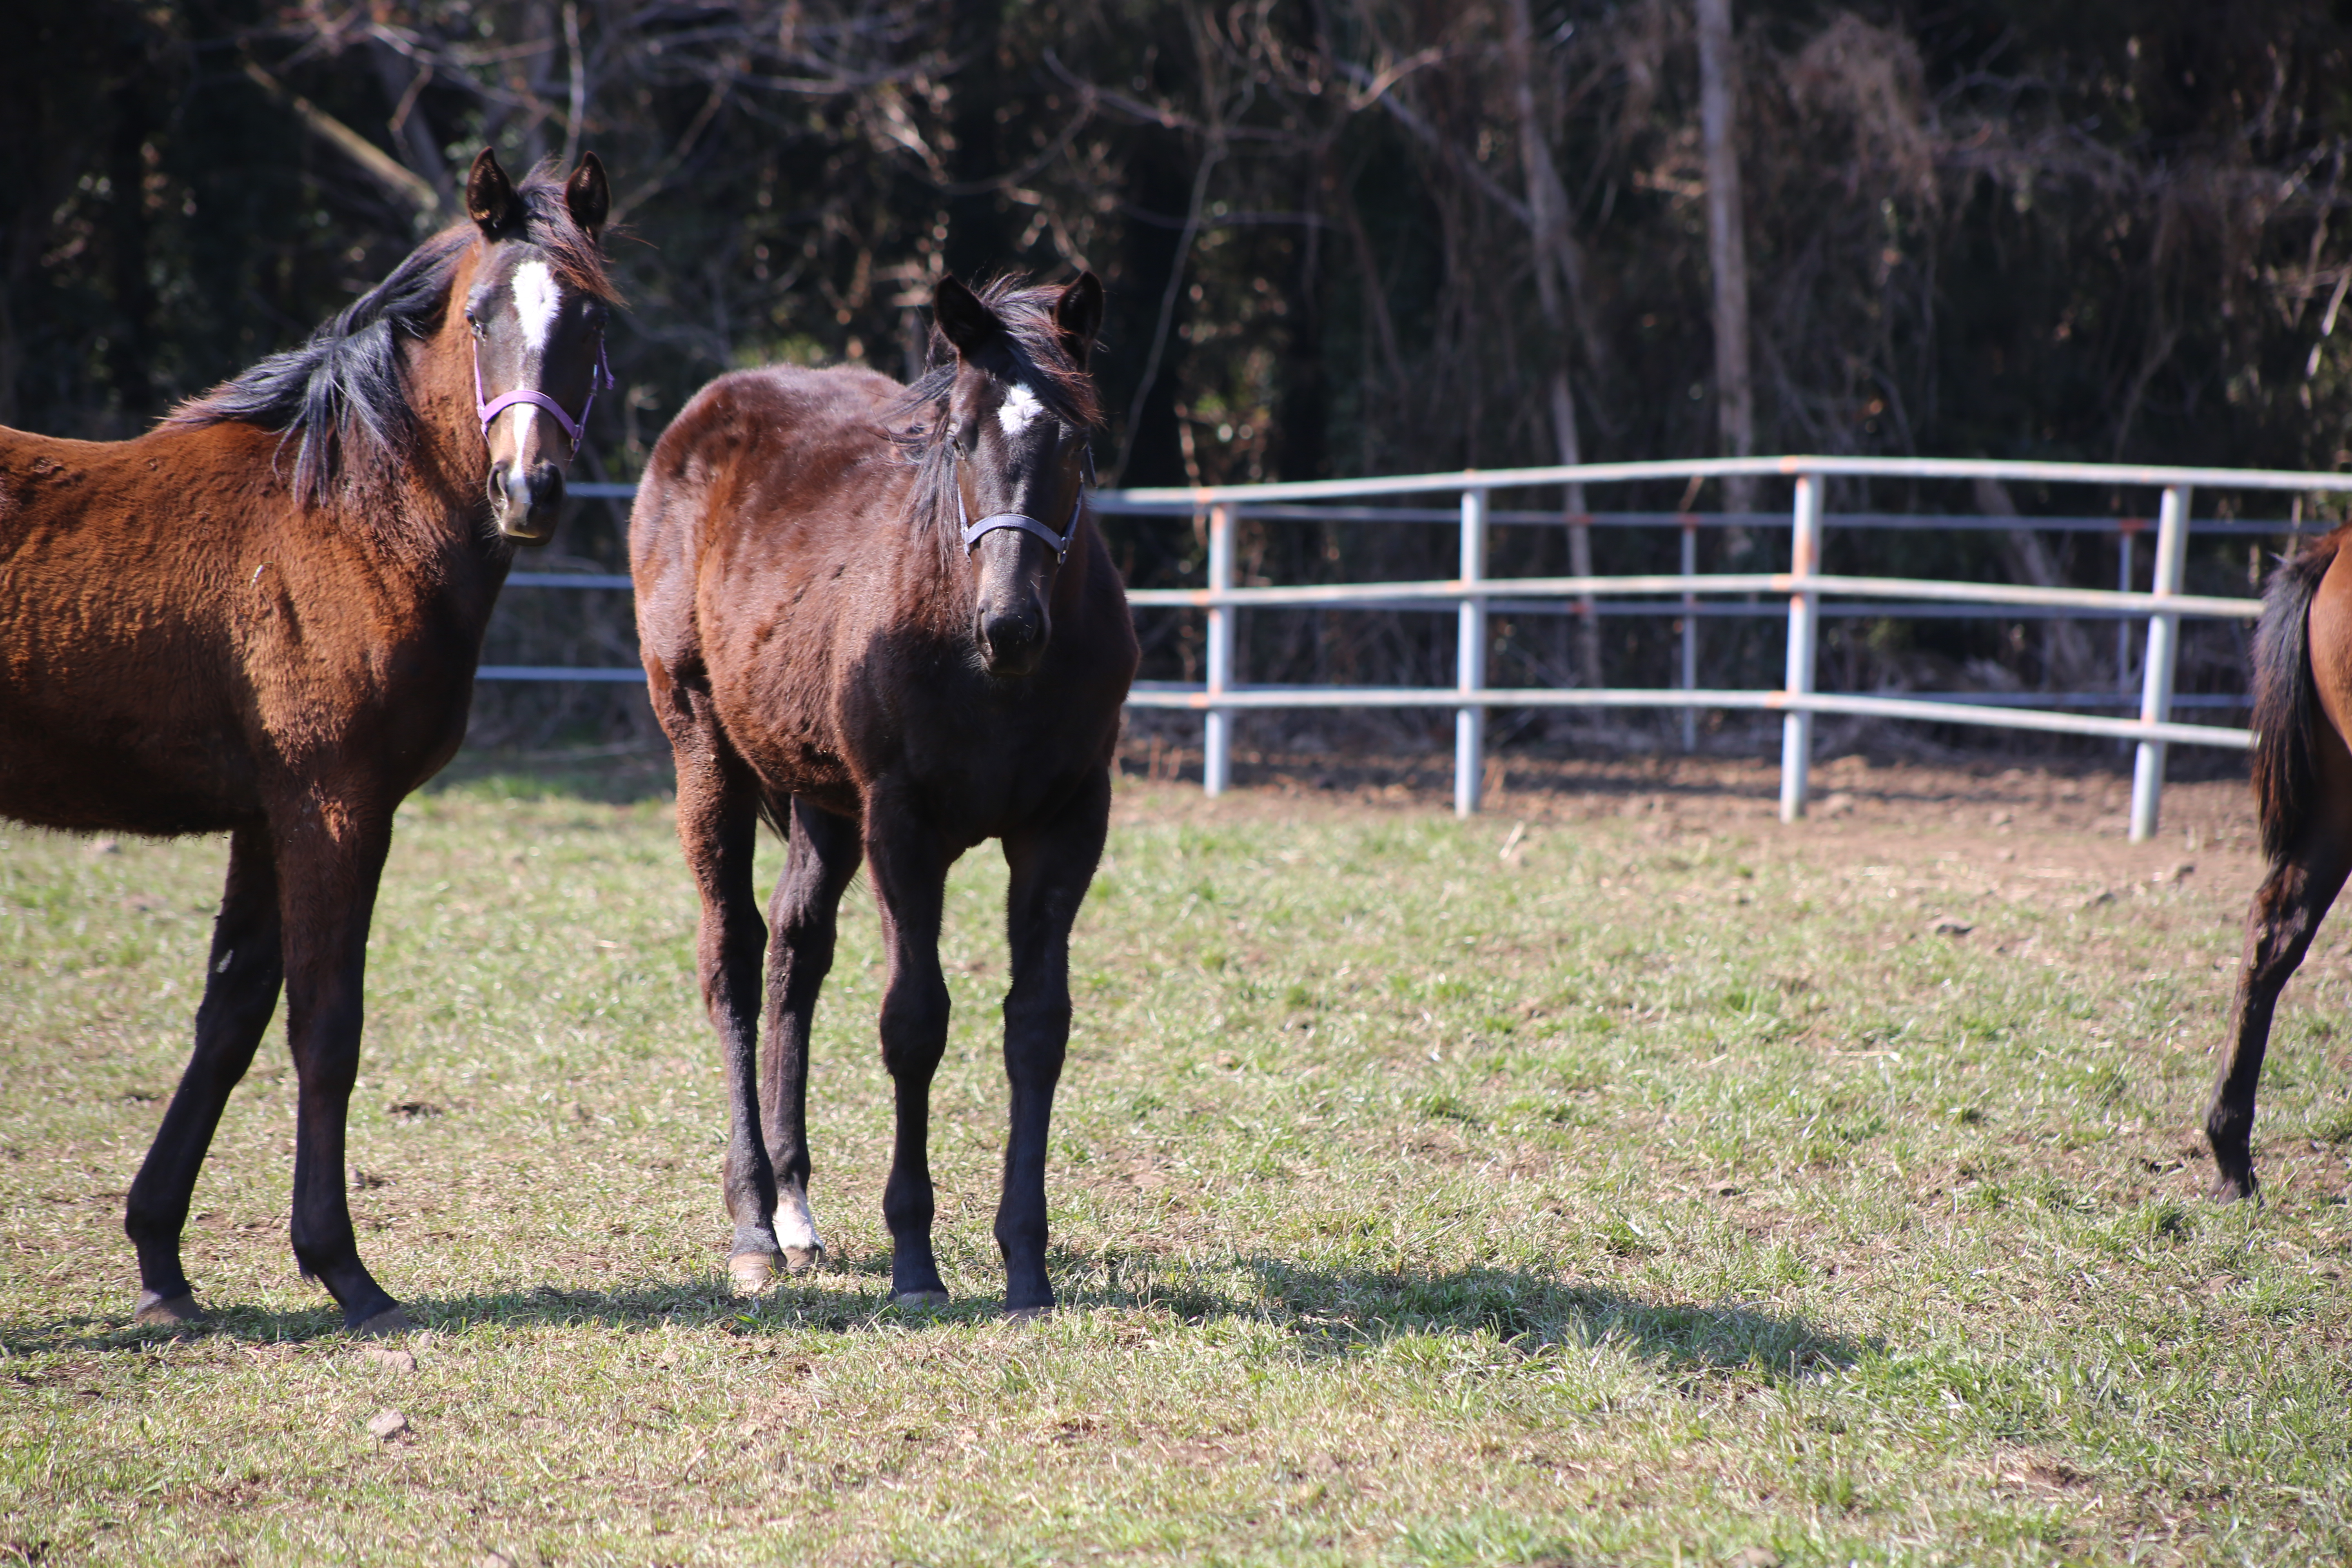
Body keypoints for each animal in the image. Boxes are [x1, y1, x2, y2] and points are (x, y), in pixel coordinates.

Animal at [0, 150, 616, 1335]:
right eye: (479, 314)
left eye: (593, 316)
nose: (530, 488)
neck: (339, 518)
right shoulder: (333, 805)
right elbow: (325, 1031)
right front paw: (345, 1270)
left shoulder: (265, 814)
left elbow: (229, 1021)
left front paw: (161, 1263)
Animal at [630, 272, 1134, 1316]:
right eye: (961, 437)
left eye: (1076, 442)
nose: (1011, 625)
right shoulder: (905, 823)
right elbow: (914, 1022)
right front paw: (914, 1260)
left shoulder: (1067, 823)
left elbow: (1037, 1026)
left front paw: (1026, 1262)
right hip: (705, 750)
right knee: (733, 959)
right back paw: (753, 1225)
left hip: (823, 797)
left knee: (796, 950)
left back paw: (793, 1208)